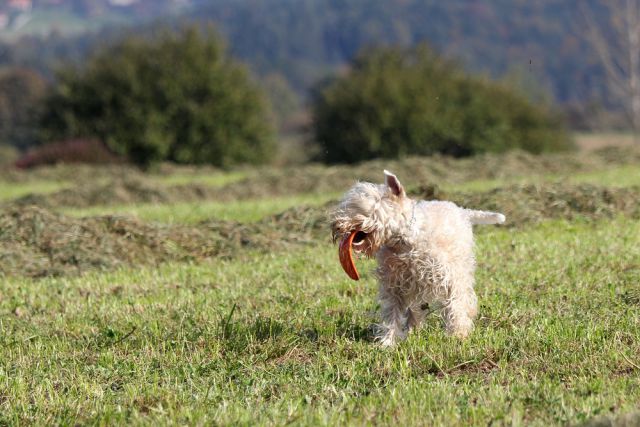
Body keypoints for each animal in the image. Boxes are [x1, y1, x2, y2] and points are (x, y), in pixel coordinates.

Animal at [330, 169, 504, 346]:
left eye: (360, 206)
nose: (336, 226)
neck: (404, 242)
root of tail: (462, 210)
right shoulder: (395, 285)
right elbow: (392, 314)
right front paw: (387, 342)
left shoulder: (448, 277)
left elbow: (455, 304)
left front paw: (458, 335)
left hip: (462, 267)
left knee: (464, 295)